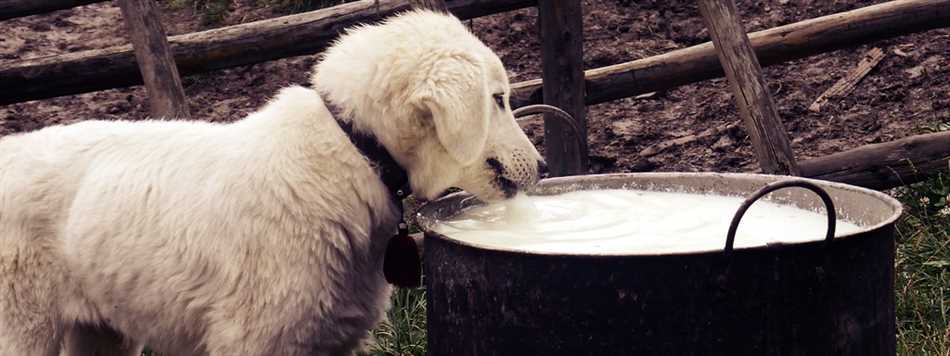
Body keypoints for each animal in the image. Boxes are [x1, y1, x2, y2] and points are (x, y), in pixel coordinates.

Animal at [0, 11, 548, 356]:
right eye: (498, 99)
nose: (542, 167)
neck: (352, 155)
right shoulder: (254, 339)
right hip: (22, 325)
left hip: (101, 330)